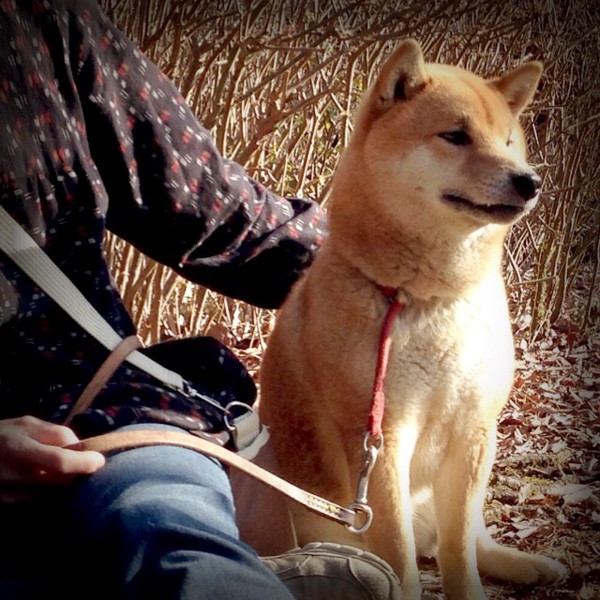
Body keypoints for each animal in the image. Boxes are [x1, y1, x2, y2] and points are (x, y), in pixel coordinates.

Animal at [258, 39, 568, 596]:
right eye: (455, 136)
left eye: (509, 142)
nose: (529, 181)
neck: (430, 296)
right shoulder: (381, 442)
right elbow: (401, 559)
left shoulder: (473, 432)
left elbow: (458, 552)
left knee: (466, 540)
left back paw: (524, 563)